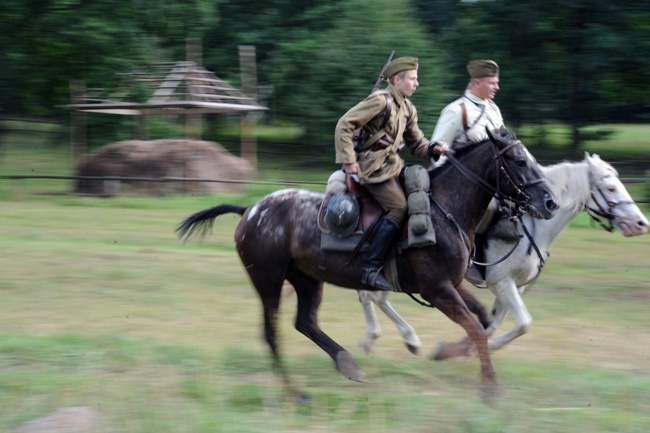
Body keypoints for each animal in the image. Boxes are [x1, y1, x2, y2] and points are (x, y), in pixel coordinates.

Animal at [356, 154, 644, 356]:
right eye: (610, 188)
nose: (641, 224)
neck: (532, 226)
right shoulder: (502, 283)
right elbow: (523, 323)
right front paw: (474, 349)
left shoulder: (514, 287)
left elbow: (495, 322)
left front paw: (462, 350)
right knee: (371, 295)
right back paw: (387, 338)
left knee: (374, 295)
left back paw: (393, 339)